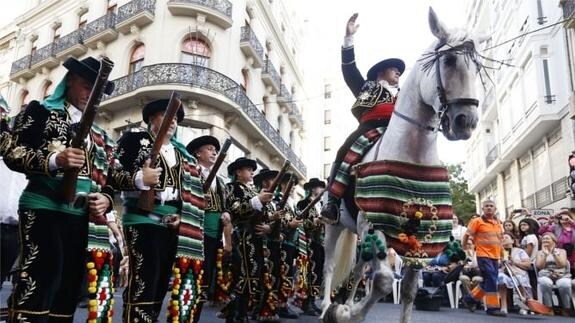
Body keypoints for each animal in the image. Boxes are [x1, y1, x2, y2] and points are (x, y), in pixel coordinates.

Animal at [322, 7, 488, 323]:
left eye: (478, 67)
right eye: (449, 60)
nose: (467, 122)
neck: (411, 155)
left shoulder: (422, 234)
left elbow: (409, 290)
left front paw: (350, 310)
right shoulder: (373, 224)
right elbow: (384, 282)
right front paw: (348, 313)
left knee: (358, 270)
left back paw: (344, 303)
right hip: (334, 226)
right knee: (329, 266)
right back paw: (327, 307)